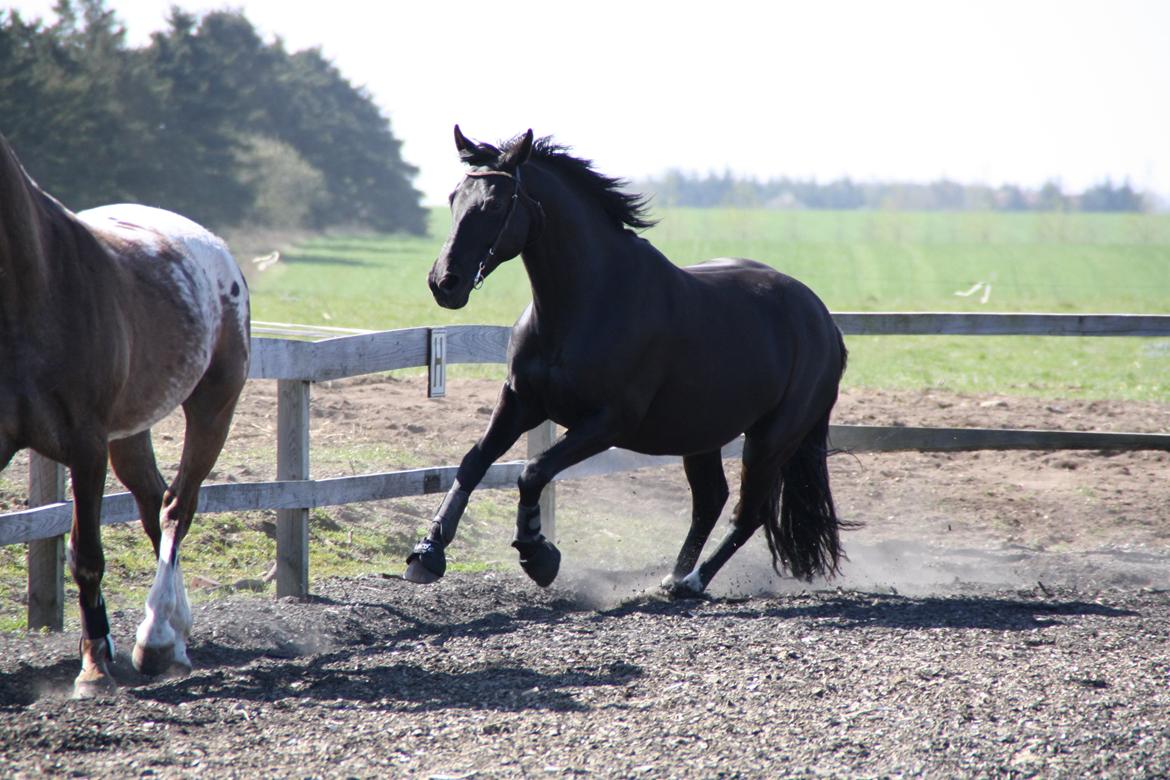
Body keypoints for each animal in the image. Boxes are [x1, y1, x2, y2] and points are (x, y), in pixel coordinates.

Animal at [407, 128, 847, 594]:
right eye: (454, 197)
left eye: (493, 204)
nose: (444, 283)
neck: (584, 304)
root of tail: (823, 321)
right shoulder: (520, 403)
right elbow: (474, 463)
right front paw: (428, 553)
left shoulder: (608, 422)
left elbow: (533, 471)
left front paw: (538, 554)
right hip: (701, 434)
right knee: (711, 501)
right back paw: (674, 576)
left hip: (770, 440)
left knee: (749, 514)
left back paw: (692, 582)